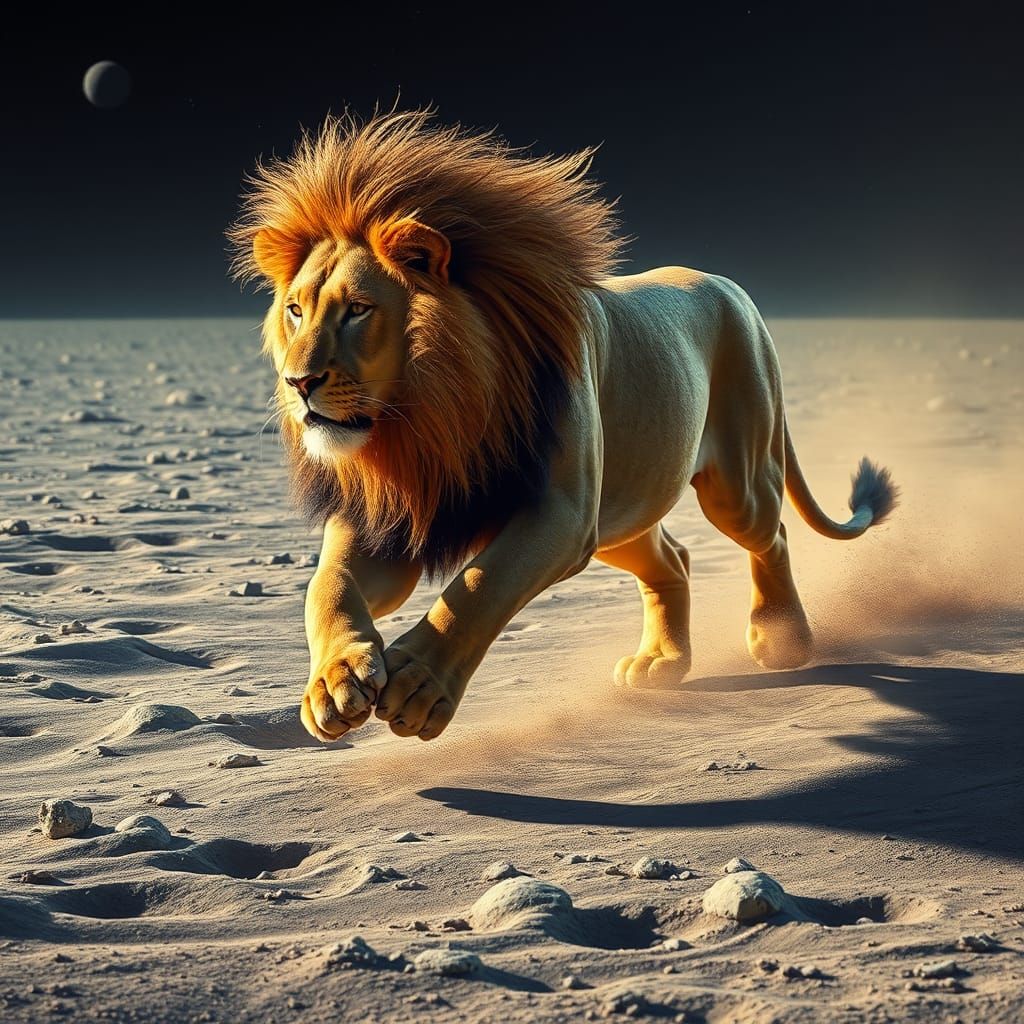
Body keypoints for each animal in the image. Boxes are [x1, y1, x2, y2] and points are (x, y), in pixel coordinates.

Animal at [228, 110, 898, 743]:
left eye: (359, 310)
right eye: (296, 310)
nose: (297, 382)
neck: (426, 422)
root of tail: (730, 286)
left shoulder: (562, 511)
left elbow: (480, 586)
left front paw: (418, 687)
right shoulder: (388, 516)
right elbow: (328, 586)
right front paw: (334, 683)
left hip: (733, 483)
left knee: (772, 534)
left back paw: (781, 640)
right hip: (622, 513)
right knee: (673, 558)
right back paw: (662, 664)